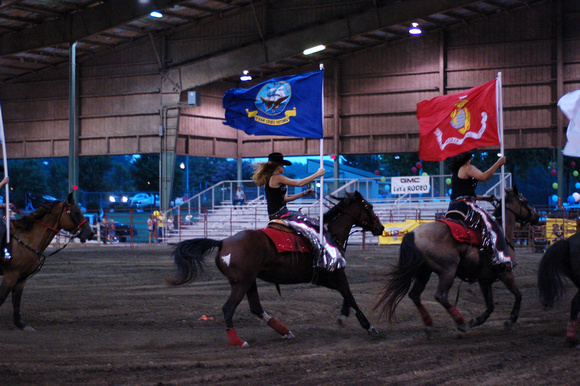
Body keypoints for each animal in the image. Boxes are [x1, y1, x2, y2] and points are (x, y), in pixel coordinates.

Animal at [0, 191, 94, 330]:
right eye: (76, 212)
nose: (91, 233)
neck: (26, 239)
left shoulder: (22, 277)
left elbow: (16, 300)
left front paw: (20, 324)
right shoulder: (10, 275)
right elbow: (2, 297)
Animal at [167, 191, 386, 348]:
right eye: (368, 206)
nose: (381, 228)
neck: (329, 233)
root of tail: (223, 242)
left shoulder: (323, 277)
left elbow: (345, 295)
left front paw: (342, 317)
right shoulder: (337, 273)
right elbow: (350, 296)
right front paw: (369, 327)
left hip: (249, 282)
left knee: (256, 308)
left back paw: (285, 332)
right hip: (242, 283)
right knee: (228, 308)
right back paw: (238, 341)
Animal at [374, 185, 540, 336]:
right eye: (524, 201)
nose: (537, 217)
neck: (501, 235)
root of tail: (413, 234)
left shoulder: (484, 280)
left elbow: (490, 305)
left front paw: (476, 320)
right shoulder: (505, 273)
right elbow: (518, 295)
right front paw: (510, 320)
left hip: (424, 271)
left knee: (415, 294)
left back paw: (429, 325)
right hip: (448, 270)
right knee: (440, 296)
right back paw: (460, 322)